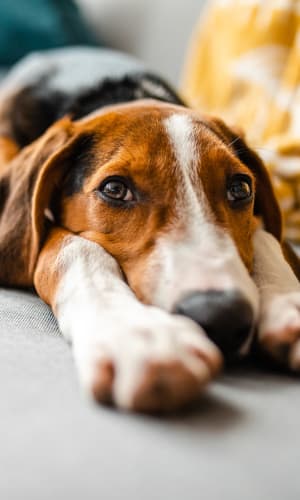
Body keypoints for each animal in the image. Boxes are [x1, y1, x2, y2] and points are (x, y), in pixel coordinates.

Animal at [0, 47, 298, 414]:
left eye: (240, 189)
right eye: (115, 189)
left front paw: (287, 299)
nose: (222, 315)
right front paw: (137, 333)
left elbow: (265, 235)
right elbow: (74, 247)